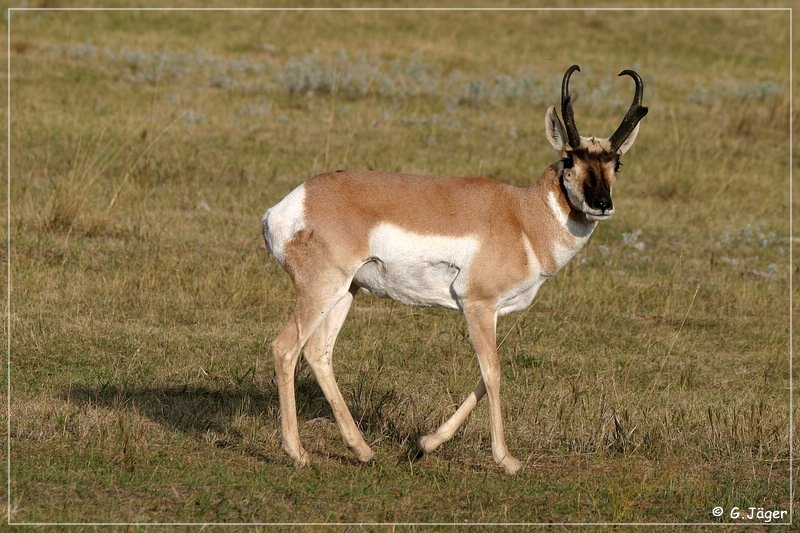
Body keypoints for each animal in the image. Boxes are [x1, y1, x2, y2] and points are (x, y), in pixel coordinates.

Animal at [266, 64, 648, 472]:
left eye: (616, 162)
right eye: (570, 159)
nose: (602, 204)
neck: (522, 215)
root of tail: (287, 206)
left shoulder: (490, 313)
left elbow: (484, 375)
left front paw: (424, 444)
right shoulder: (477, 306)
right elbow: (493, 373)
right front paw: (507, 460)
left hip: (345, 292)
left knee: (318, 353)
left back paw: (363, 450)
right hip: (321, 290)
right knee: (285, 348)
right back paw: (299, 453)